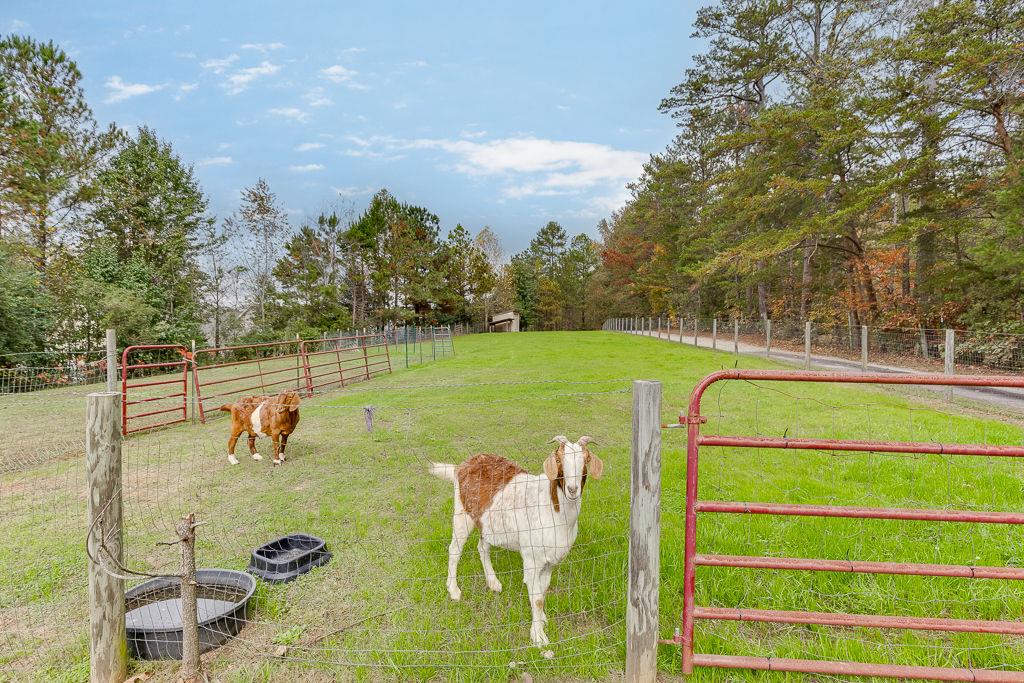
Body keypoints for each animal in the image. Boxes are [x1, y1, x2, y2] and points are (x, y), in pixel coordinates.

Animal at [428, 436, 602, 651]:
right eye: (559, 460)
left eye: (585, 460)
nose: (572, 489)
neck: (553, 509)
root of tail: (461, 466)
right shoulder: (532, 560)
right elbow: (537, 598)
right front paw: (539, 637)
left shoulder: (550, 562)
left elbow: (542, 593)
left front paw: (541, 620)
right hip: (462, 514)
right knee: (454, 550)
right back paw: (453, 590)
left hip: (487, 523)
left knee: (482, 547)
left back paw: (493, 582)